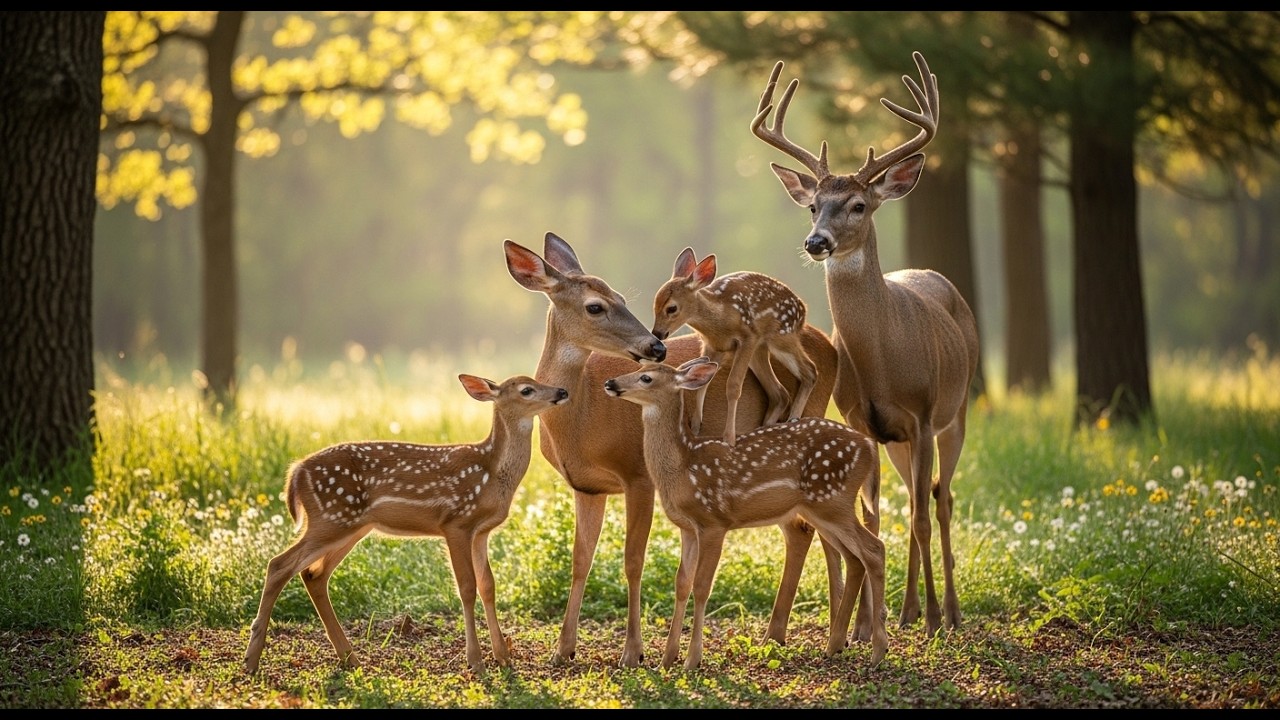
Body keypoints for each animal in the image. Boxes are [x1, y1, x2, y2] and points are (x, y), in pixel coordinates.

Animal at [243, 373, 570, 675]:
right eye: (526, 390)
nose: (562, 391)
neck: (493, 474)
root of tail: (296, 472)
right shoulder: (456, 523)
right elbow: (466, 587)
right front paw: (476, 662)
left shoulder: (482, 531)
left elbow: (488, 585)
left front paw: (503, 657)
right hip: (332, 517)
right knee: (279, 564)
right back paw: (251, 660)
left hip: (350, 526)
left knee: (313, 575)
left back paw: (350, 658)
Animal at [603, 357, 887, 670]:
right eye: (638, 369)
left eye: (647, 378)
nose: (611, 383)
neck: (683, 469)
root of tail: (869, 448)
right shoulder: (687, 527)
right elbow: (681, 584)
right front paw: (666, 661)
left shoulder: (714, 521)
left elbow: (702, 586)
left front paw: (692, 660)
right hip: (824, 509)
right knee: (855, 557)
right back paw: (835, 645)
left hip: (833, 500)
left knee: (874, 549)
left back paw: (878, 651)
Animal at [650, 247, 819, 448]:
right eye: (655, 304)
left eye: (672, 308)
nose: (657, 333)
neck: (721, 317)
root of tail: (803, 309)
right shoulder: (713, 346)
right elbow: (702, 384)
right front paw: (696, 427)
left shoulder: (748, 338)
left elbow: (733, 386)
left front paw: (729, 439)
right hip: (760, 351)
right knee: (780, 393)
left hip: (782, 337)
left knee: (810, 371)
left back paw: (793, 419)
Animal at [751, 51, 981, 638]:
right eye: (813, 206)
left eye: (858, 205)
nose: (816, 242)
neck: (883, 363)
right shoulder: (864, 421)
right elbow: (875, 515)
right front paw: (860, 624)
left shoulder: (921, 416)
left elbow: (919, 517)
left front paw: (921, 617)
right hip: (900, 441)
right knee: (917, 498)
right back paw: (912, 609)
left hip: (956, 412)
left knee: (940, 502)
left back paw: (947, 611)